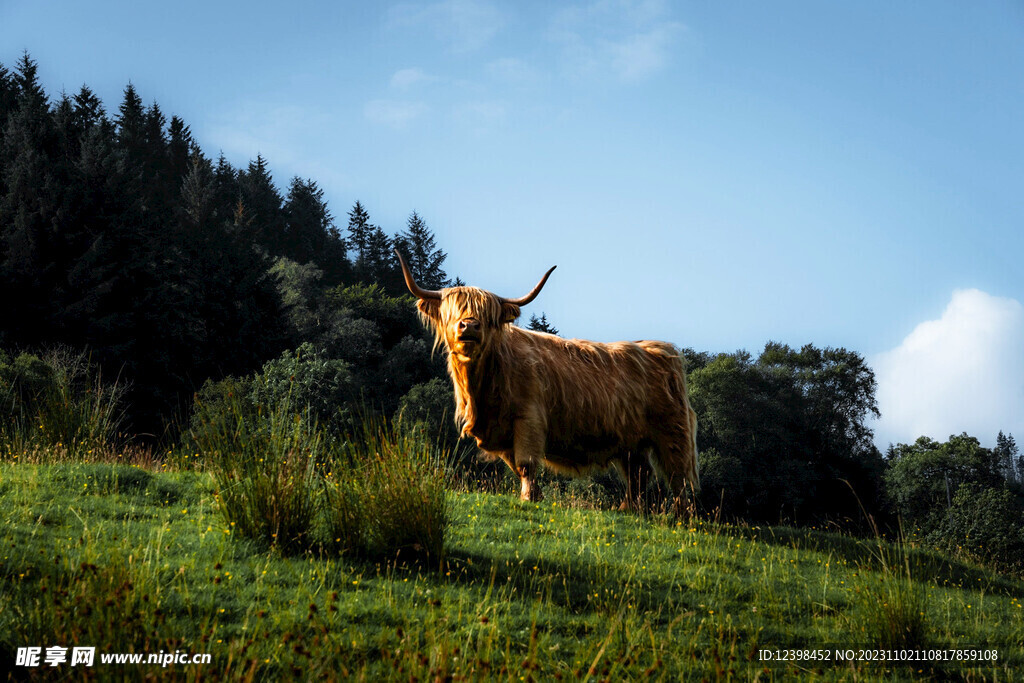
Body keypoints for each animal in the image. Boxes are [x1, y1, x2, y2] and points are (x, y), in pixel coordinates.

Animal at [395, 249, 700, 507]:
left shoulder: (529, 418)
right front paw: (535, 495)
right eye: (453, 309)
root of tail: (661, 349)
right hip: (631, 442)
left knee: (679, 479)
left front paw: (528, 498)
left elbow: (526, 463)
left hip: (673, 433)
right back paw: (629, 510)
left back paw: (681, 517)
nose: (469, 325)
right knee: (639, 474)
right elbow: (516, 465)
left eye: (488, 314)